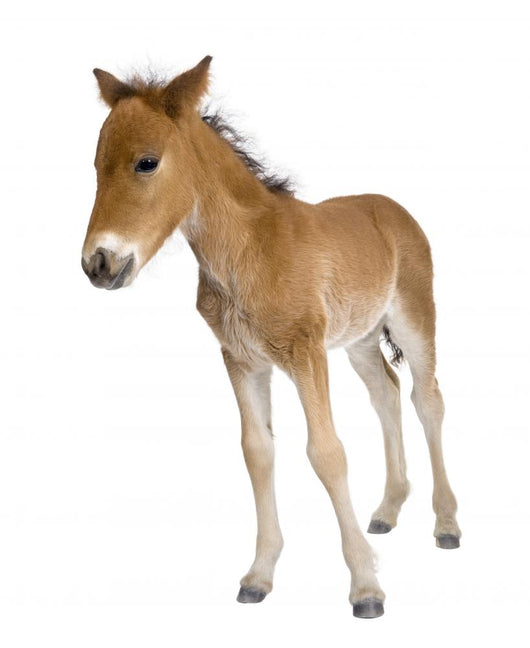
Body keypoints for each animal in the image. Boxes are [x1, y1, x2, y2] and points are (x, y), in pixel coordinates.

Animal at [81, 55, 461, 619]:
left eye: (146, 163)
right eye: (96, 165)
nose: (98, 264)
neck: (247, 251)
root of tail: (392, 208)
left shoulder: (305, 352)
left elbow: (327, 453)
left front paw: (365, 587)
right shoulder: (242, 359)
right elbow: (257, 451)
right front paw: (259, 576)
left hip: (414, 317)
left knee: (427, 399)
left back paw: (447, 523)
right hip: (360, 338)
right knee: (386, 394)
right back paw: (388, 510)